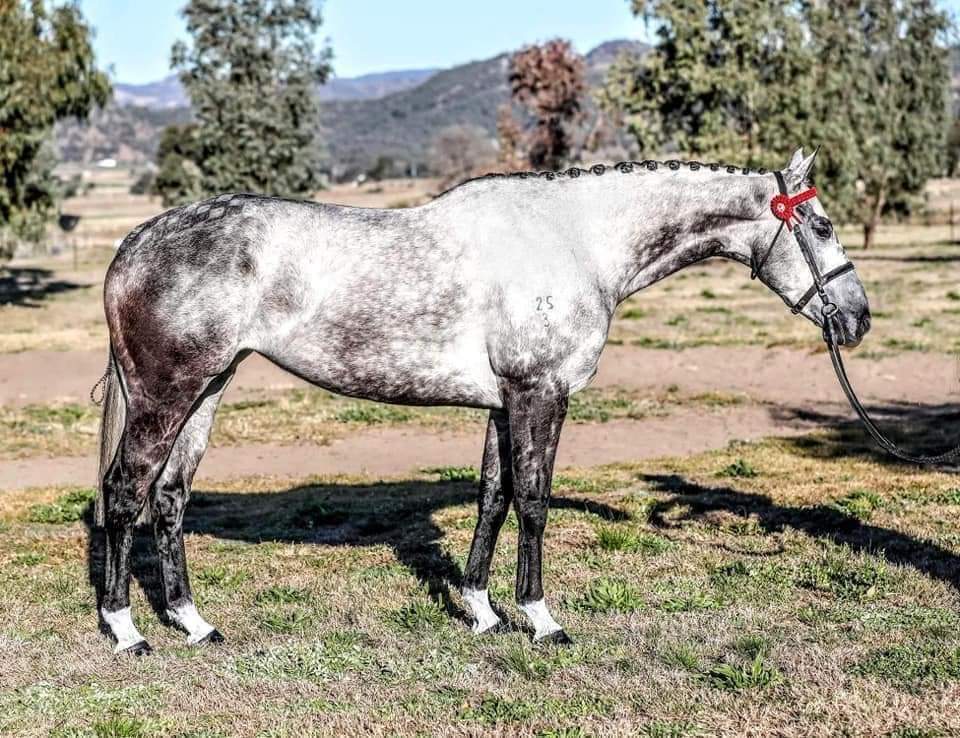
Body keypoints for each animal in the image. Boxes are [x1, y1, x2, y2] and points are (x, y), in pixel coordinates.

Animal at [93, 147, 870, 654]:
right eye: (823, 226)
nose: (859, 319)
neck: (577, 241)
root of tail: (135, 241)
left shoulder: (503, 404)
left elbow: (492, 495)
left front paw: (480, 610)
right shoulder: (541, 394)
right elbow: (533, 500)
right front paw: (540, 618)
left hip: (208, 389)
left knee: (170, 497)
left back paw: (193, 623)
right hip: (168, 394)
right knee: (126, 493)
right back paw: (125, 630)